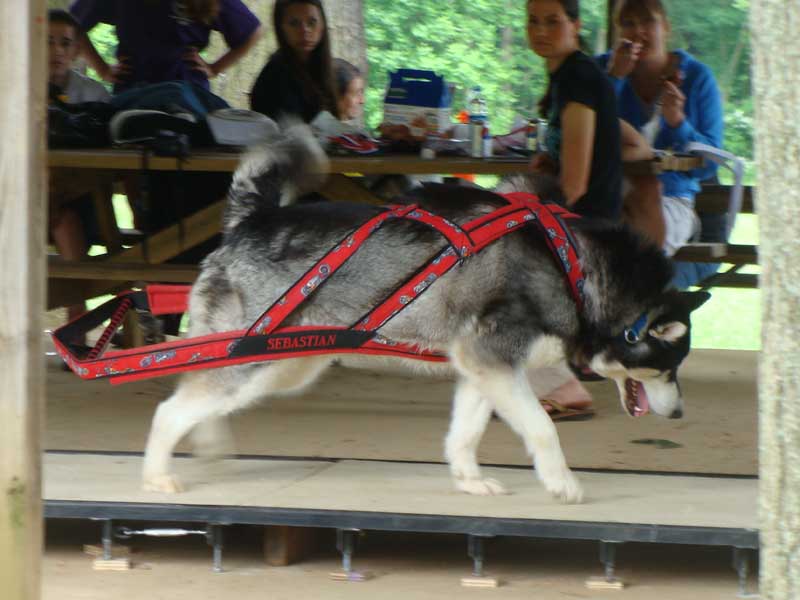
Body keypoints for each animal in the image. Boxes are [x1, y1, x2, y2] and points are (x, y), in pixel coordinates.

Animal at [142, 125, 708, 502]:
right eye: (668, 368)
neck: (572, 264)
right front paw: (562, 482)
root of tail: (250, 219)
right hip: (256, 361)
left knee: (195, 392)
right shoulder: (494, 358)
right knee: (171, 408)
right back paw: (157, 473)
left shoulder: (482, 368)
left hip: (283, 364)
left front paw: (469, 479)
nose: (682, 414)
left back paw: (208, 444)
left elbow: (466, 433)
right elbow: (542, 428)